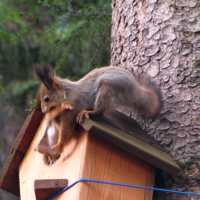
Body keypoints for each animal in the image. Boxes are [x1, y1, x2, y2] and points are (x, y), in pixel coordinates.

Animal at [34, 64, 162, 164]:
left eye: (46, 99)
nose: (44, 111)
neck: (67, 93)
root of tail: (134, 90)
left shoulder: (73, 107)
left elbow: (66, 129)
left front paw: (58, 146)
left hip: (108, 89)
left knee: (100, 113)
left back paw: (88, 113)